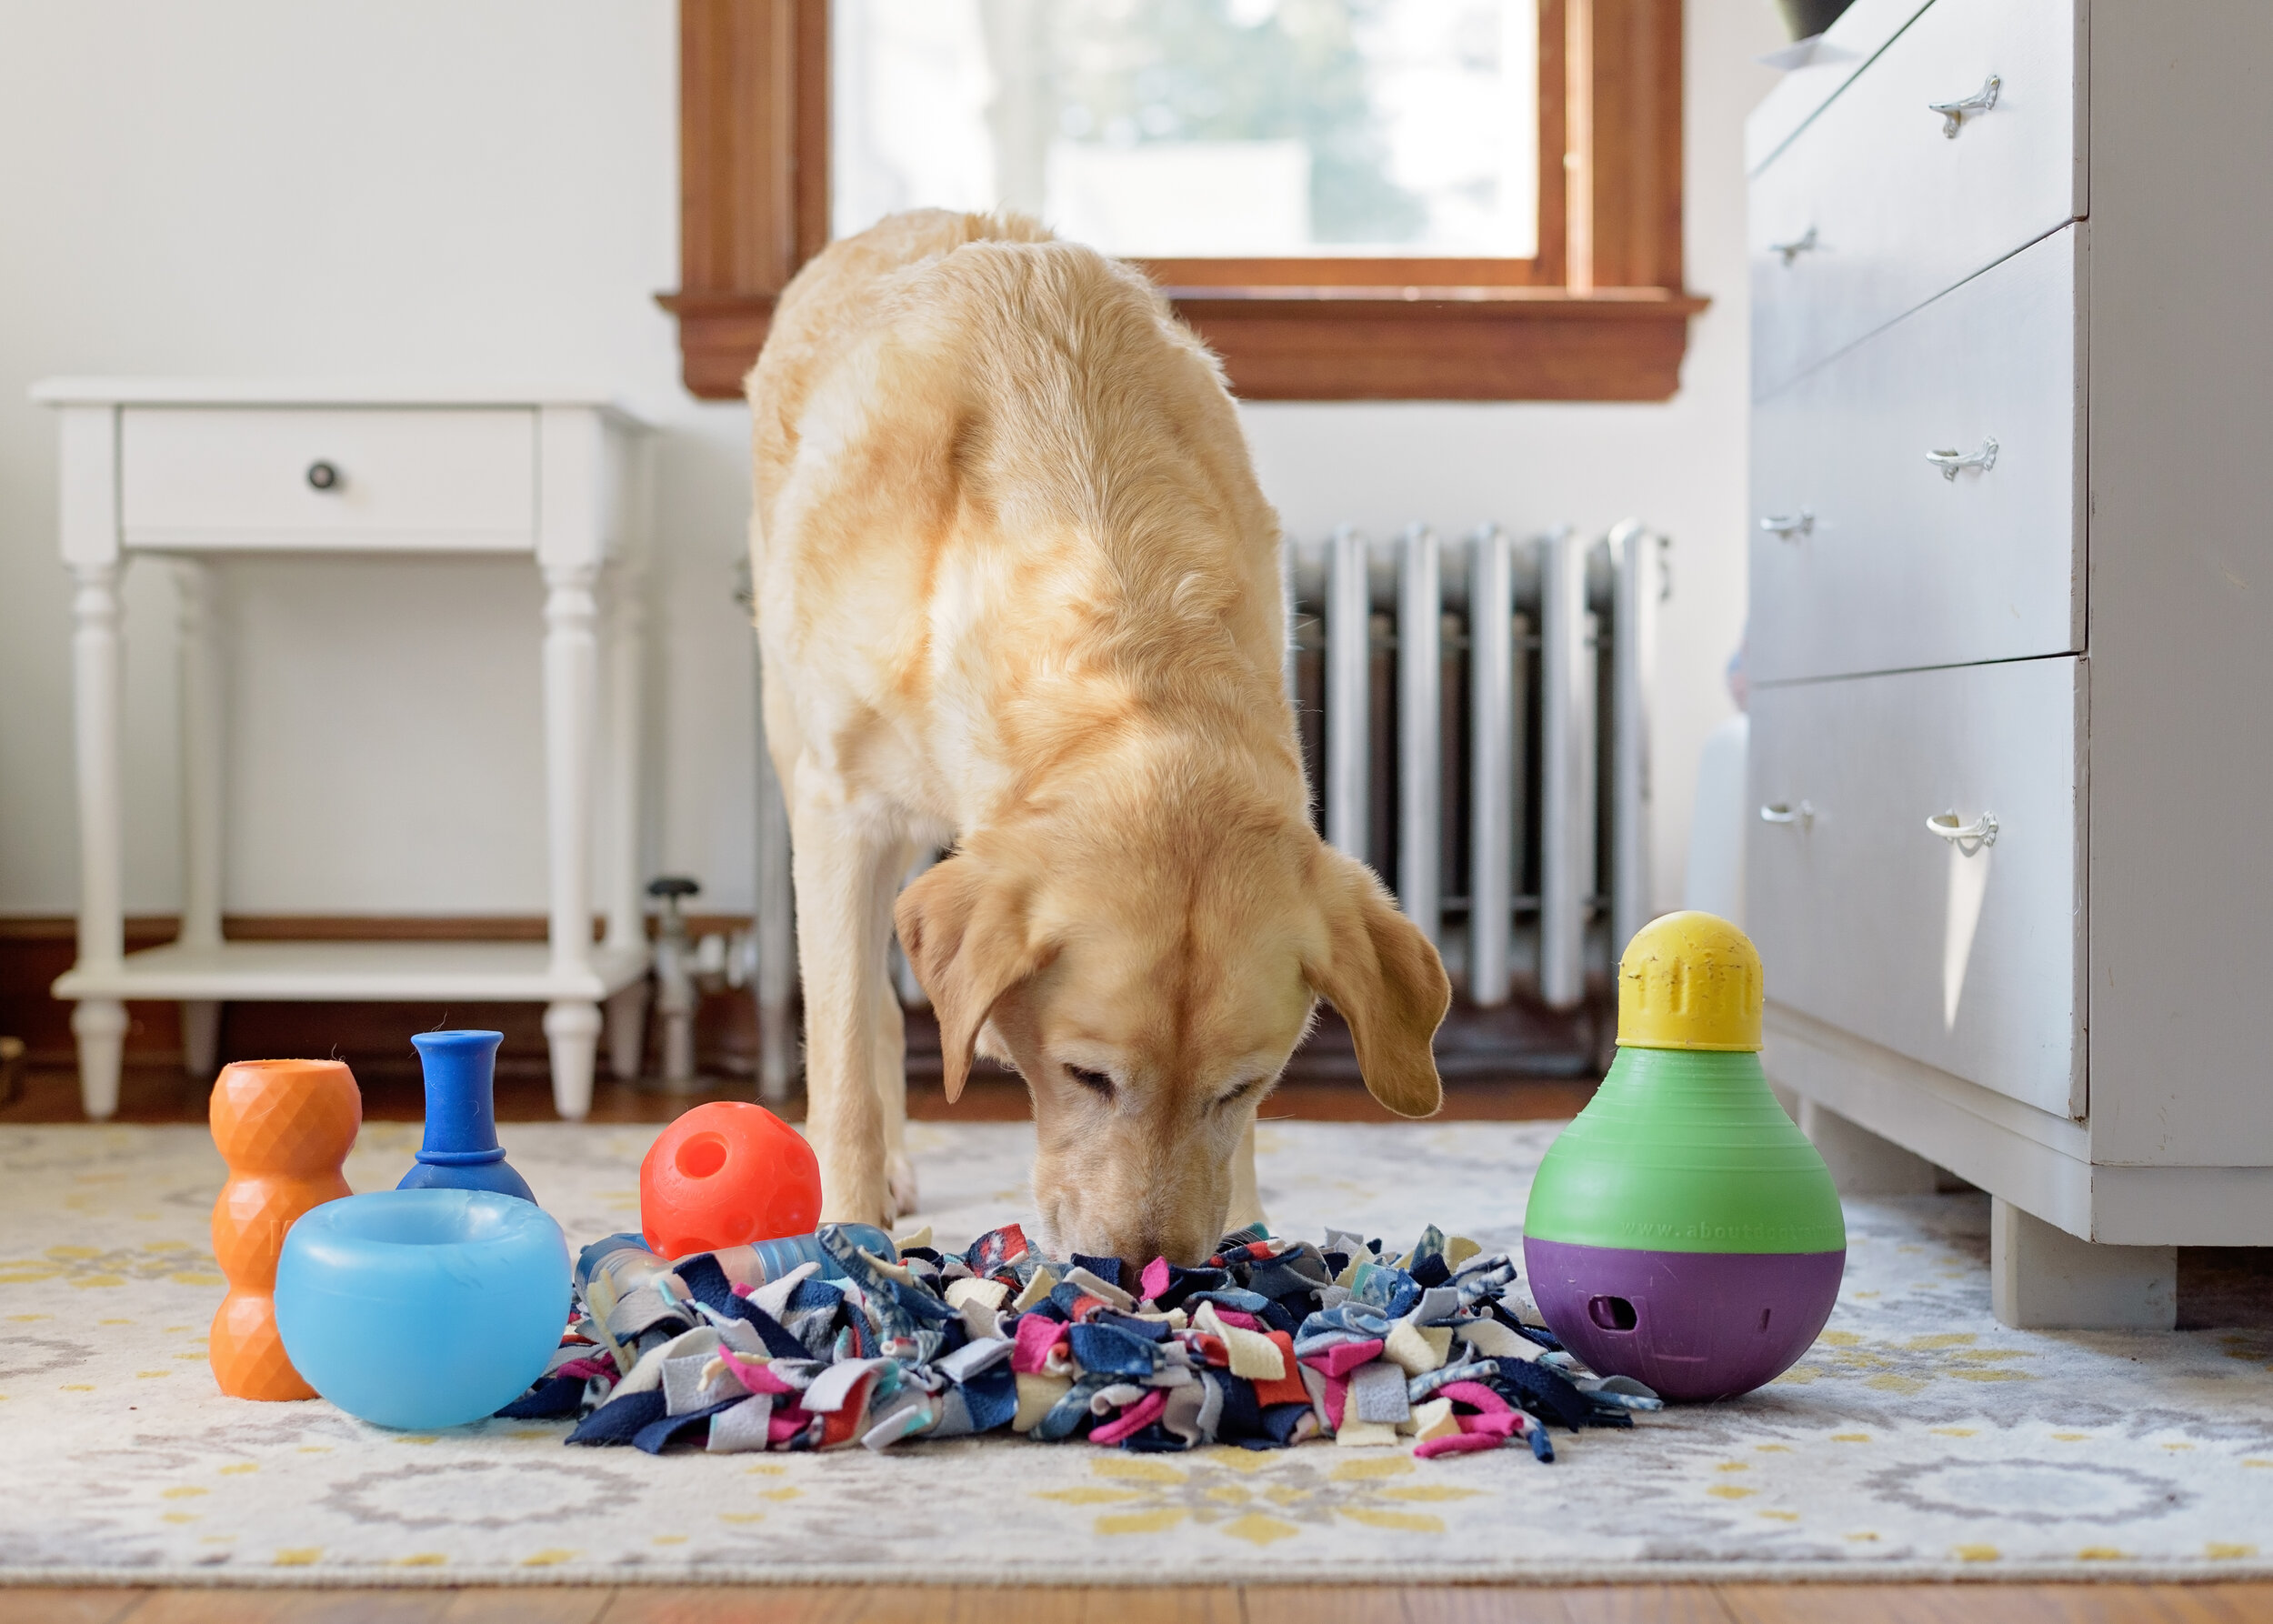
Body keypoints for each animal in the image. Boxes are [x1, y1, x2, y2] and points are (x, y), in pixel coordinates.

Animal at [755, 209, 1446, 1273]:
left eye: (1241, 1087)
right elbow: (841, 1063)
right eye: (1085, 1075)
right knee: (863, 1009)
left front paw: (1253, 1238)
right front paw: (846, 1237)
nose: (1145, 1271)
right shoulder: (842, 810)